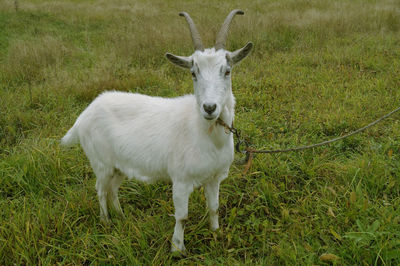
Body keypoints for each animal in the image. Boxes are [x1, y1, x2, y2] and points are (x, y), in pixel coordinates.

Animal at [61, 9, 252, 252]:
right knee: (101, 189)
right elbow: (182, 217)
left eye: (227, 71)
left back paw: (121, 216)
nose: (209, 108)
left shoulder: (214, 178)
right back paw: (106, 221)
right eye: (193, 73)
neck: (204, 134)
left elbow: (214, 208)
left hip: (119, 166)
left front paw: (216, 234)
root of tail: (84, 114)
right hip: (101, 162)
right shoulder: (181, 180)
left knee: (112, 189)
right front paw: (177, 249)